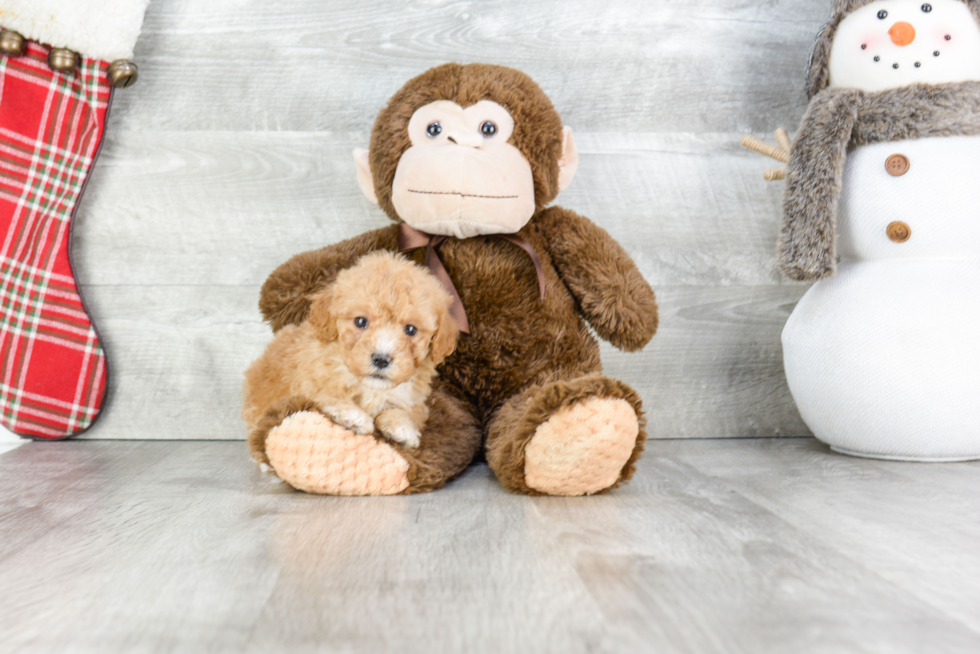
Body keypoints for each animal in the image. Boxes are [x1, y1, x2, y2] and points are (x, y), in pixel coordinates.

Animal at [245, 251, 460, 462]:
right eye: (360, 321)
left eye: (411, 329)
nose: (381, 359)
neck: (372, 388)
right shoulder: (307, 382)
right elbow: (327, 393)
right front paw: (354, 416)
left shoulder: (416, 400)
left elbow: (407, 410)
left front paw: (402, 427)